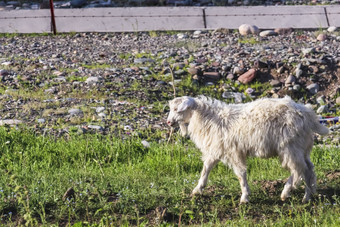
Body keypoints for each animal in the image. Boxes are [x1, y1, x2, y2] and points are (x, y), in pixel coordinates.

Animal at [167, 95, 330, 203]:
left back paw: (287, 192)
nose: (168, 122)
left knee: (299, 170)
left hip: (290, 147)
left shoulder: (233, 151)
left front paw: (245, 197)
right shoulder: (216, 149)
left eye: (177, 109)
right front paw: (197, 190)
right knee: (309, 169)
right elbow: (206, 169)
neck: (208, 119)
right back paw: (307, 196)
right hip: (303, 147)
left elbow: (240, 174)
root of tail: (307, 115)